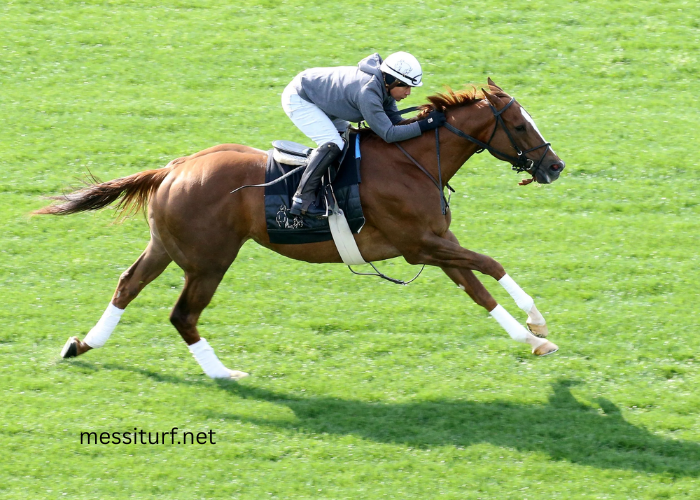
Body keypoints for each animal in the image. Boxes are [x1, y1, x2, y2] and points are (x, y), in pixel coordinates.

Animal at [35, 79, 565, 380]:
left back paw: (82, 344)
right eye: (520, 125)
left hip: (166, 246)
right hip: (209, 261)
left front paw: (532, 339)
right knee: (182, 315)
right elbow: (491, 265)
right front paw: (537, 322)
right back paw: (224, 374)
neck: (413, 160)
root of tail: (174, 167)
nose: (554, 166)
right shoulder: (420, 246)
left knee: (128, 284)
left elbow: (477, 290)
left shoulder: (437, 244)